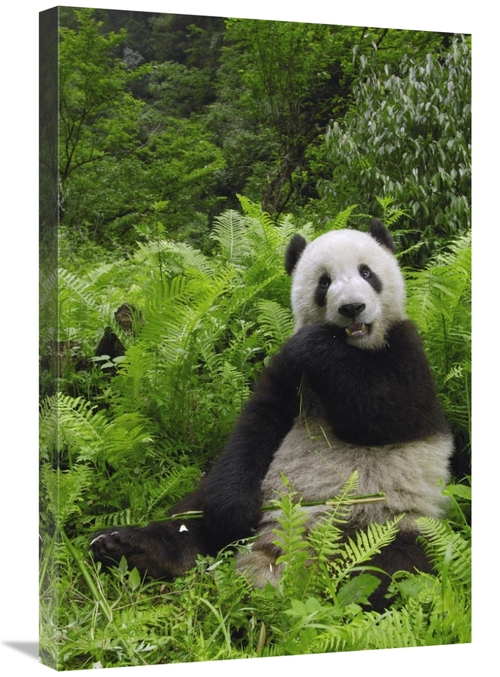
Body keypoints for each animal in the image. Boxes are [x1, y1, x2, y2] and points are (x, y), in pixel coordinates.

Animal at [91, 219, 453, 609]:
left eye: (367, 273)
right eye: (324, 282)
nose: (352, 308)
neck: (352, 348)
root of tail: (282, 551)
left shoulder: (407, 350)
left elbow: (386, 417)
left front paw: (318, 345)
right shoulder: (286, 373)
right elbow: (256, 424)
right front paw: (234, 514)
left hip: (388, 521)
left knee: (393, 570)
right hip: (249, 493)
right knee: (191, 518)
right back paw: (130, 547)